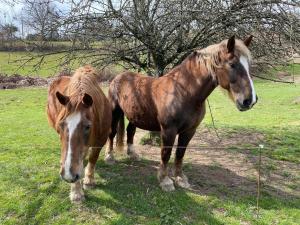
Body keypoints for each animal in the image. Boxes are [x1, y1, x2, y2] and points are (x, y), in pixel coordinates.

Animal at [47, 66, 111, 201]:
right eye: (60, 125)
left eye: (87, 126)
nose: (67, 175)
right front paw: (76, 191)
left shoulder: (101, 140)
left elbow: (93, 158)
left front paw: (89, 180)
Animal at [106, 36, 258, 191]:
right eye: (232, 64)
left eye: (248, 65)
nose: (250, 100)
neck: (183, 91)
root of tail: (118, 77)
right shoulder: (169, 130)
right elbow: (166, 153)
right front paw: (165, 180)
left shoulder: (190, 130)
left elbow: (180, 153)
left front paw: (180, 179)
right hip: (115, 111)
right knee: (112, 133)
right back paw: (109, 157)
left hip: (136, 115)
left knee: (130, 131)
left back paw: (133, 155)